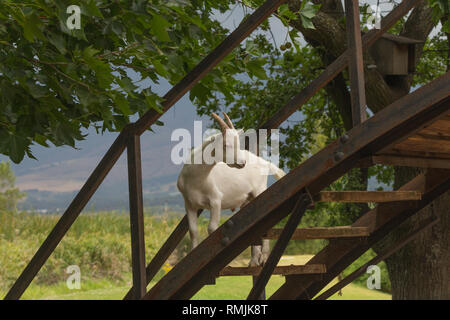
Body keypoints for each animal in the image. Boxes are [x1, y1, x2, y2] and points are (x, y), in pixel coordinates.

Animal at [176, 112, 284, 264]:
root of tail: (265, 163)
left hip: (260, 190)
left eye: (238, 144)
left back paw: (263, 257)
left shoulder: (215, 200)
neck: (196, 179)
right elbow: (193, 230)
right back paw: (253, 261)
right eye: (226, 144)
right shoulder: (189, 203)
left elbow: (212, 228)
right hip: (248, 199)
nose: (242, 162)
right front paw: (193, 254)